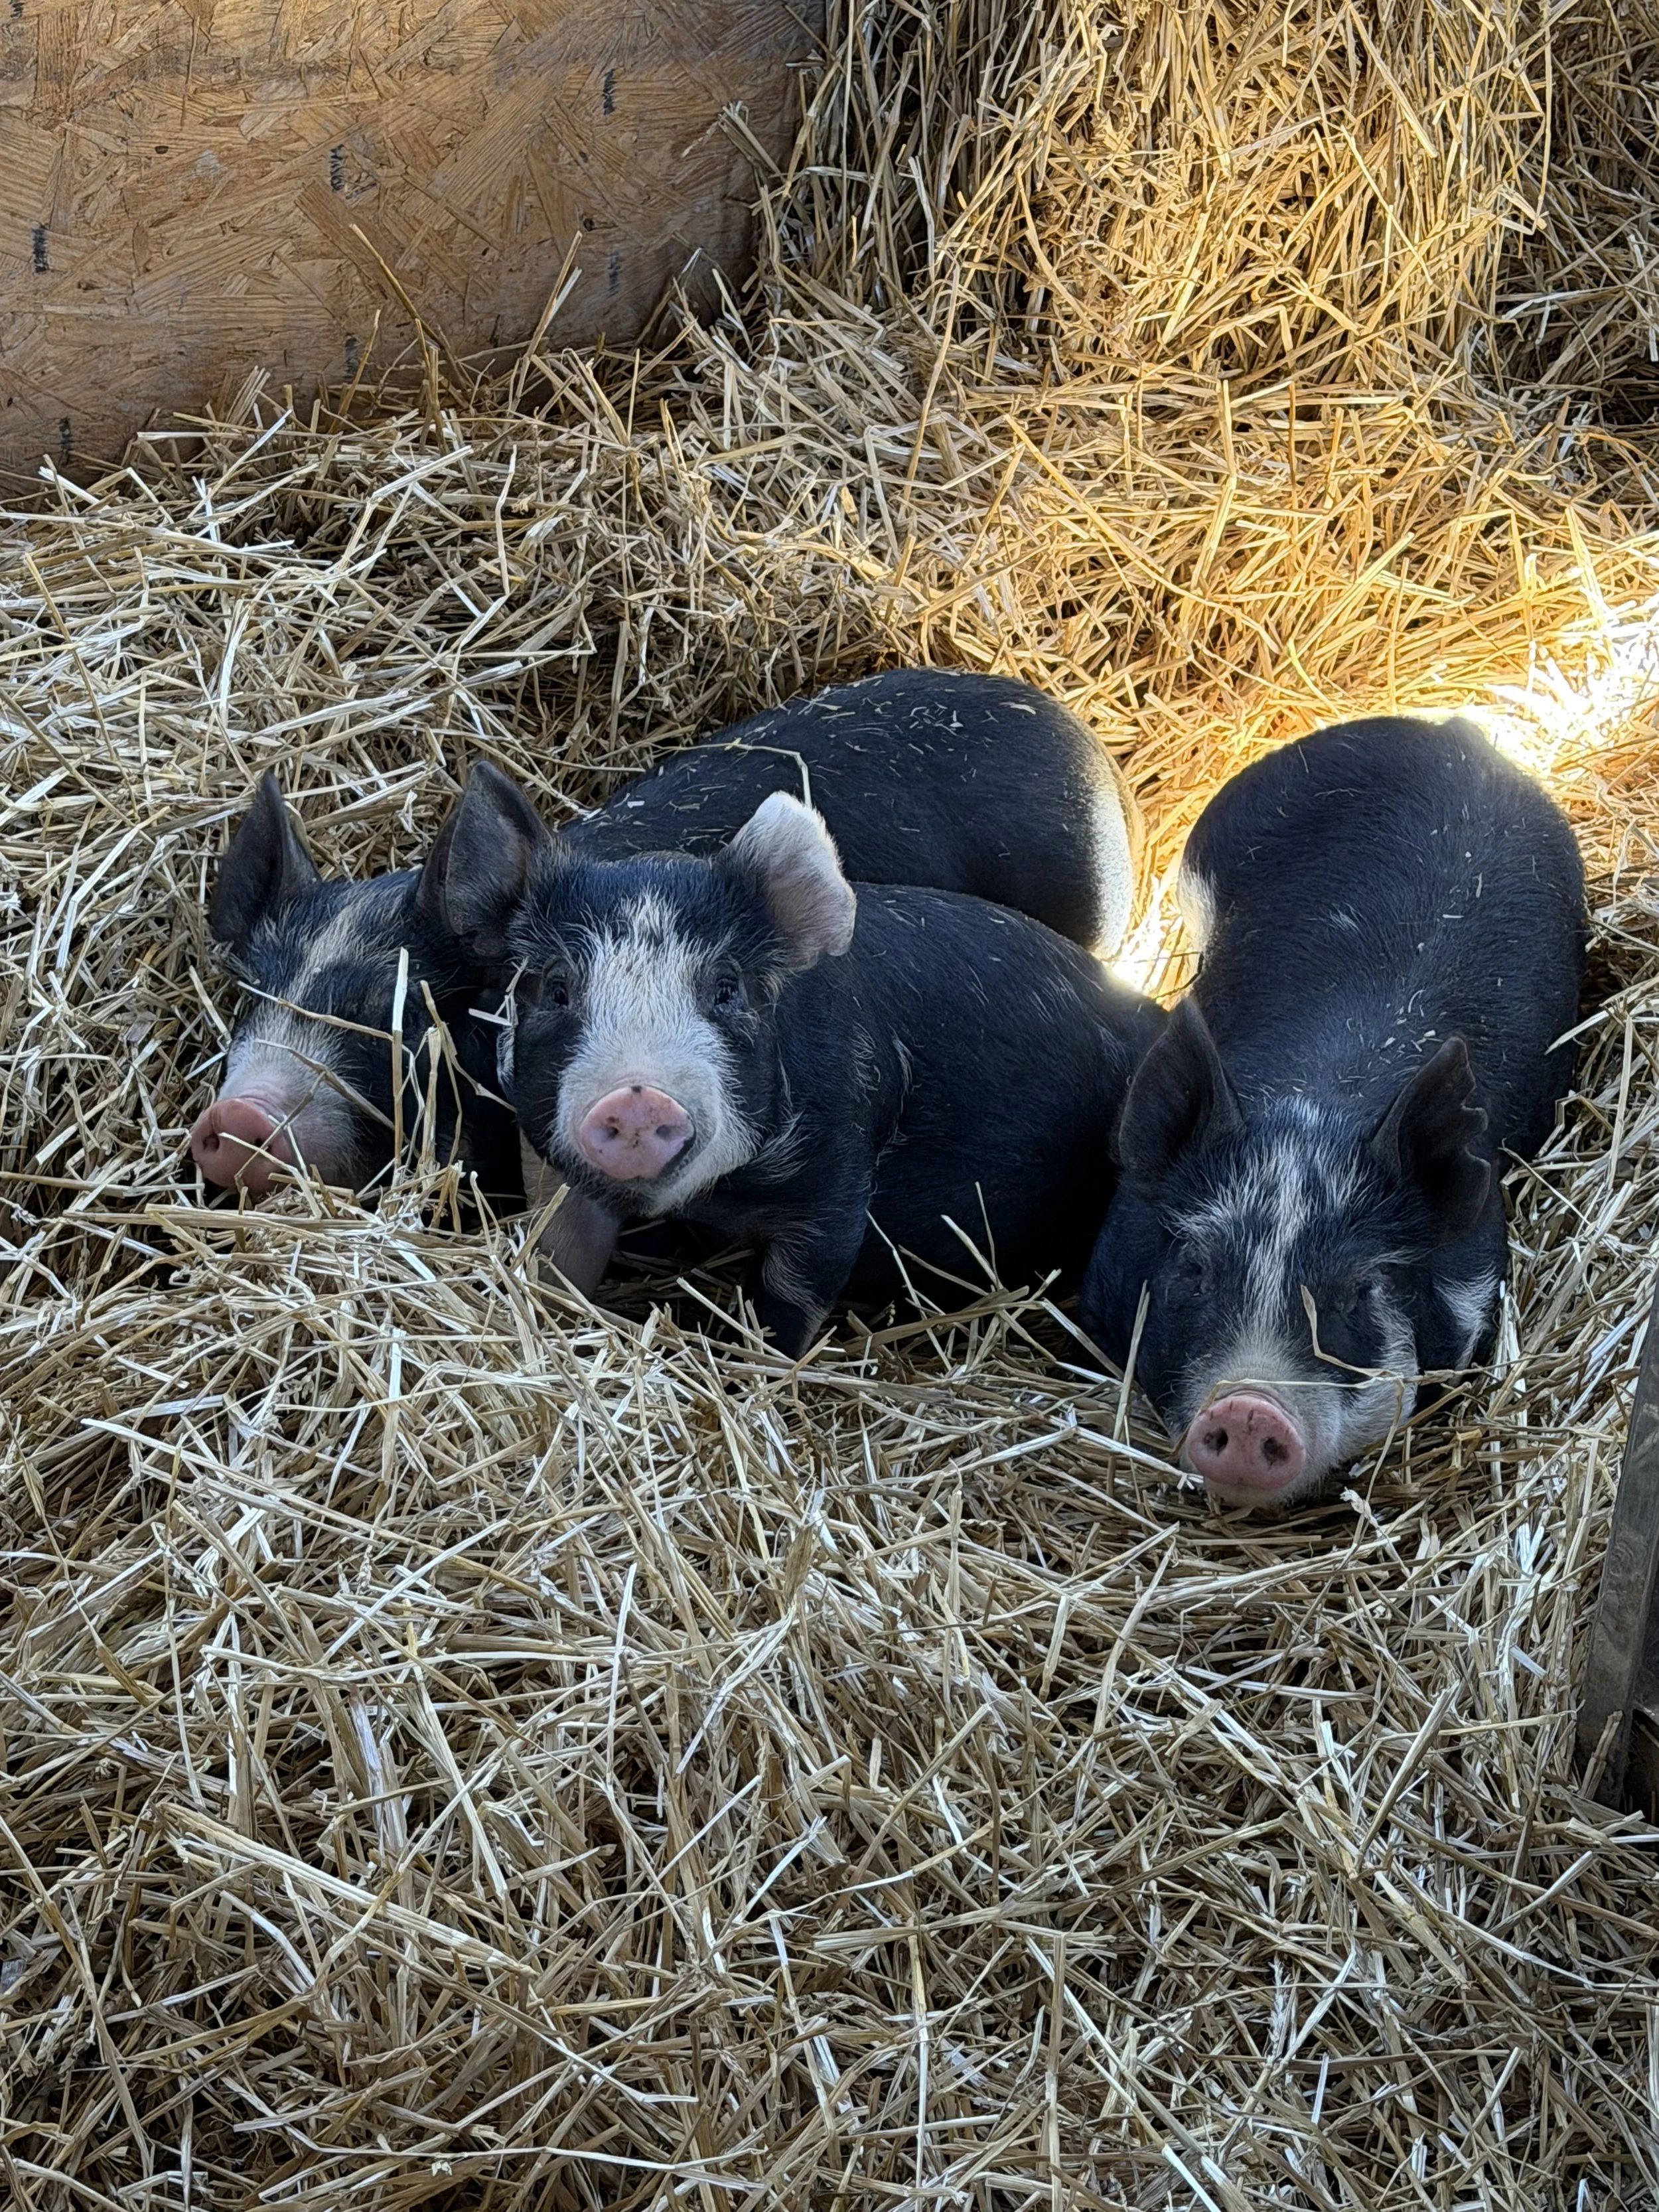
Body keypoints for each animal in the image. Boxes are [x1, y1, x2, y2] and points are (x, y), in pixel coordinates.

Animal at [432, 765, 1166, 1355]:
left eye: (726, 989)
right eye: (557, 988)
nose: (637, 1097)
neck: (716, 1200)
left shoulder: (839, 1171)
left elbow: (794, 1292)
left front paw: (753, 1363)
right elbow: (562, 1248)